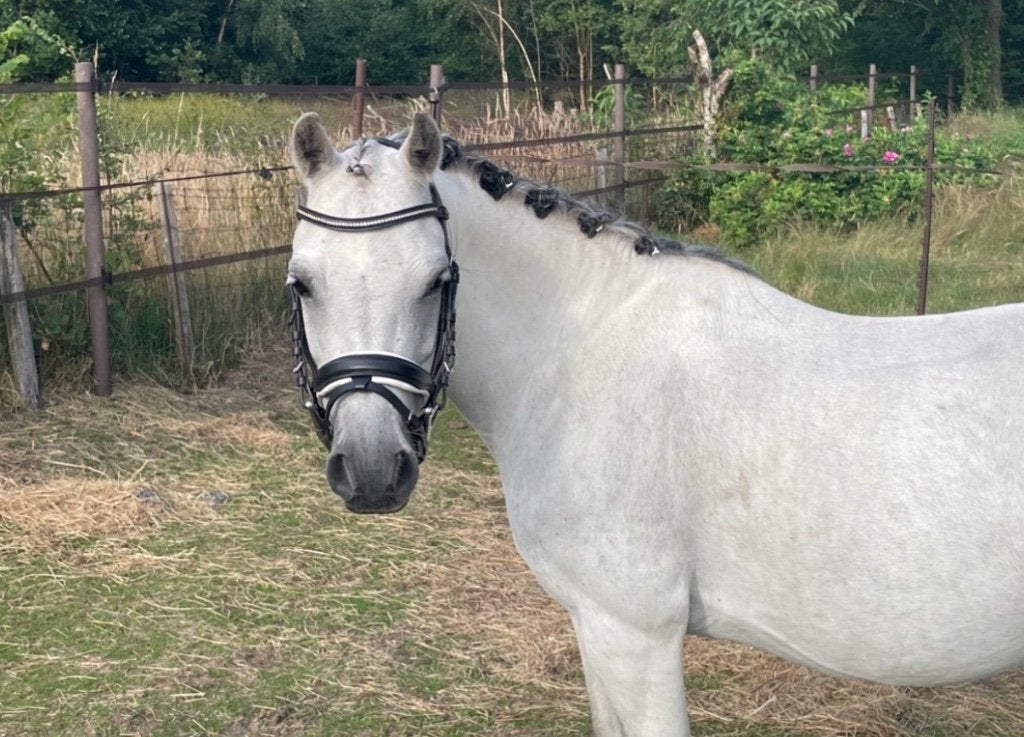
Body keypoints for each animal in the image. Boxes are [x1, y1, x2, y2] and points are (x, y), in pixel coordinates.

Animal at [286, 111, 1024, 737]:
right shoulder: (595, 625)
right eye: (303, 283)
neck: (580, 355)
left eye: (437, 281)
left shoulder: (635, 634)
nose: (372, 469)